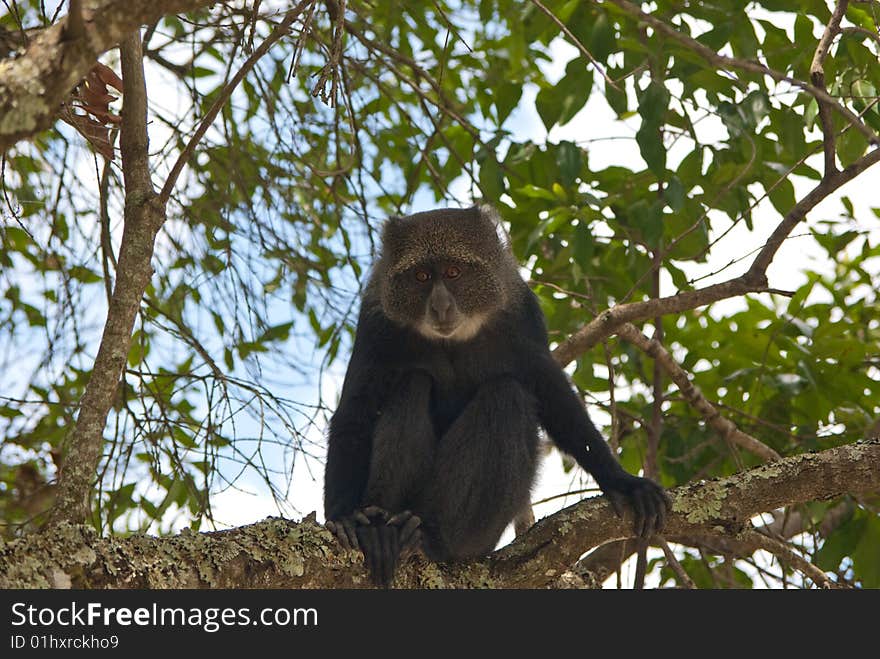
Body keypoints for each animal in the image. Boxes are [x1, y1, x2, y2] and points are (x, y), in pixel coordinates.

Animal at [326, 206, 672, 588]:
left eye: (453, 272)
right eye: (421, 276)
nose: (440, 306)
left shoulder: (523, 314)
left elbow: (553, 397)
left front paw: (622, 482)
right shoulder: (375, 322)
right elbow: (354, 412)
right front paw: (342, 517)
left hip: (481, 535)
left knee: (507, 395)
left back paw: (431, 539)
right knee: (413, 383)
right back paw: (383, 532)